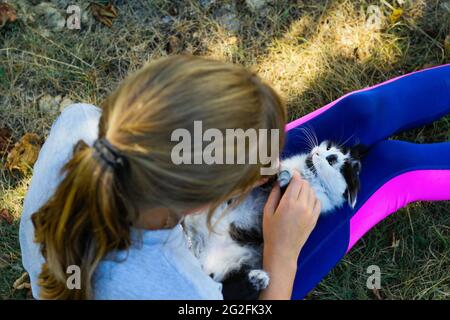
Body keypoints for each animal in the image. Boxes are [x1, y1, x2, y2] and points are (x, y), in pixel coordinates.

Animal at [185, 141, 364, 300]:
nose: (317, 152)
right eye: (328, 147)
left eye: (332, 160)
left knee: (226, 290)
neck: (305, 173)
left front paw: (284, 179)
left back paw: (256, 279)